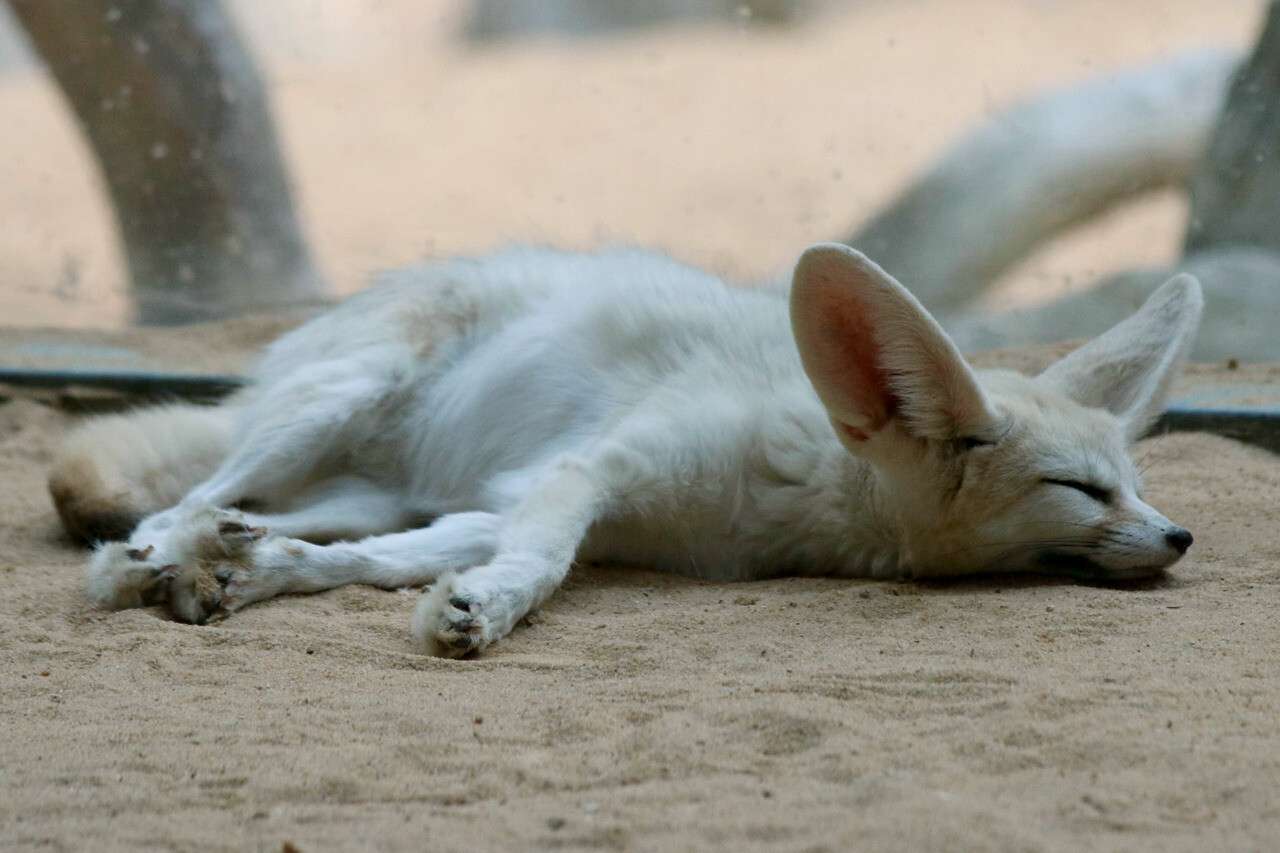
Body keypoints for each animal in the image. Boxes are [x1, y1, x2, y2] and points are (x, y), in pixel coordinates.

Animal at [51, 243, 1203, 657]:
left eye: (1133, 485)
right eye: (1079, 490)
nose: (1181, 536)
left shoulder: (514, 495)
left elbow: (376, 564)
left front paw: (264, 577)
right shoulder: (589, 473)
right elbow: (539, 560)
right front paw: (483, 609)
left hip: (368, 487)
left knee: (269, 516)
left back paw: (213, 560)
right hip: (333, 402)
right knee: (178, 498)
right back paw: (144, 563)